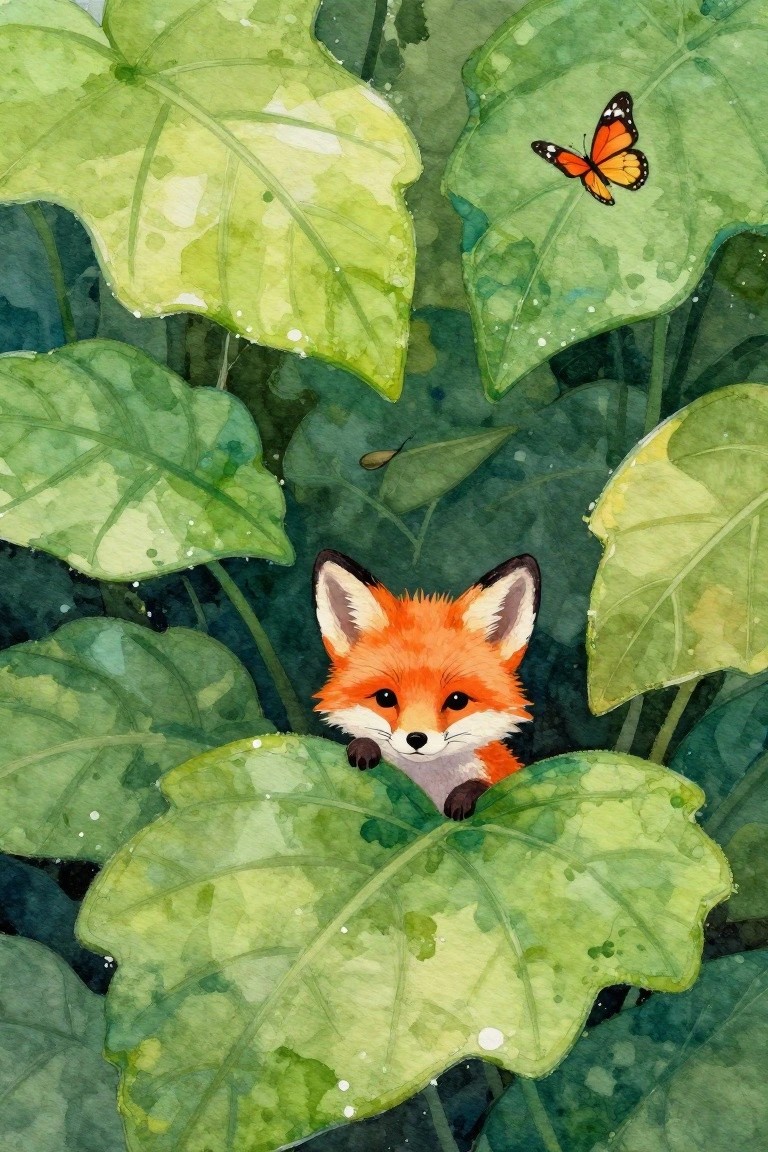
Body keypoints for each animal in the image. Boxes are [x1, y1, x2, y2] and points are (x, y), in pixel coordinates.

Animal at [312, 549, 540, 820]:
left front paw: (464, 795)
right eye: (385, 698)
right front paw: (363, 747)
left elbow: (484, 786)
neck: (428, 782)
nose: (416, 738)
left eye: (457, 700)